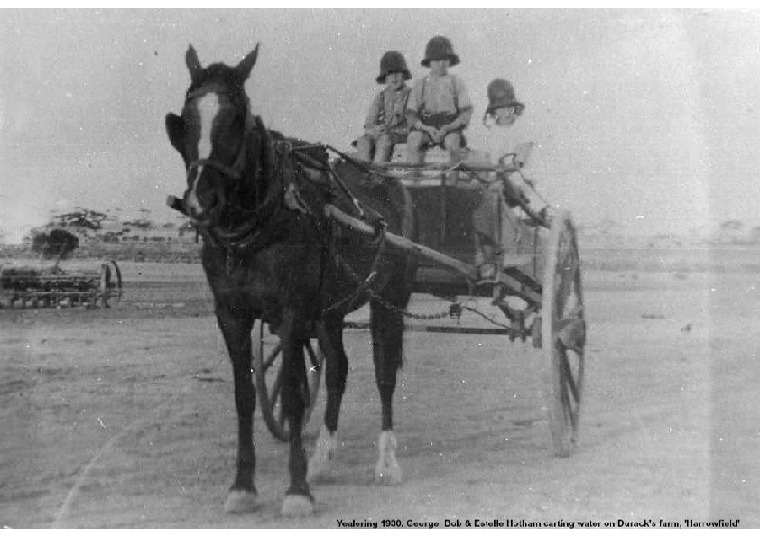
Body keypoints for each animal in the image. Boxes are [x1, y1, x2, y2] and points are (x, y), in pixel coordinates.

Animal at [164, 46, 418, 516]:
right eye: (185, 120)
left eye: (238, 117)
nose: (200, 201)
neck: (262, 221)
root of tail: (392, 182)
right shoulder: (232, 314)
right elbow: (245, 395)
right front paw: (243, 485)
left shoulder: (293, 312)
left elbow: (297, 396)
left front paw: (297, 490)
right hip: (332, 309)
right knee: (338, 370)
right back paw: (324, 457)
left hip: (387, 298)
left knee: (383, 373)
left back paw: (386, 462)